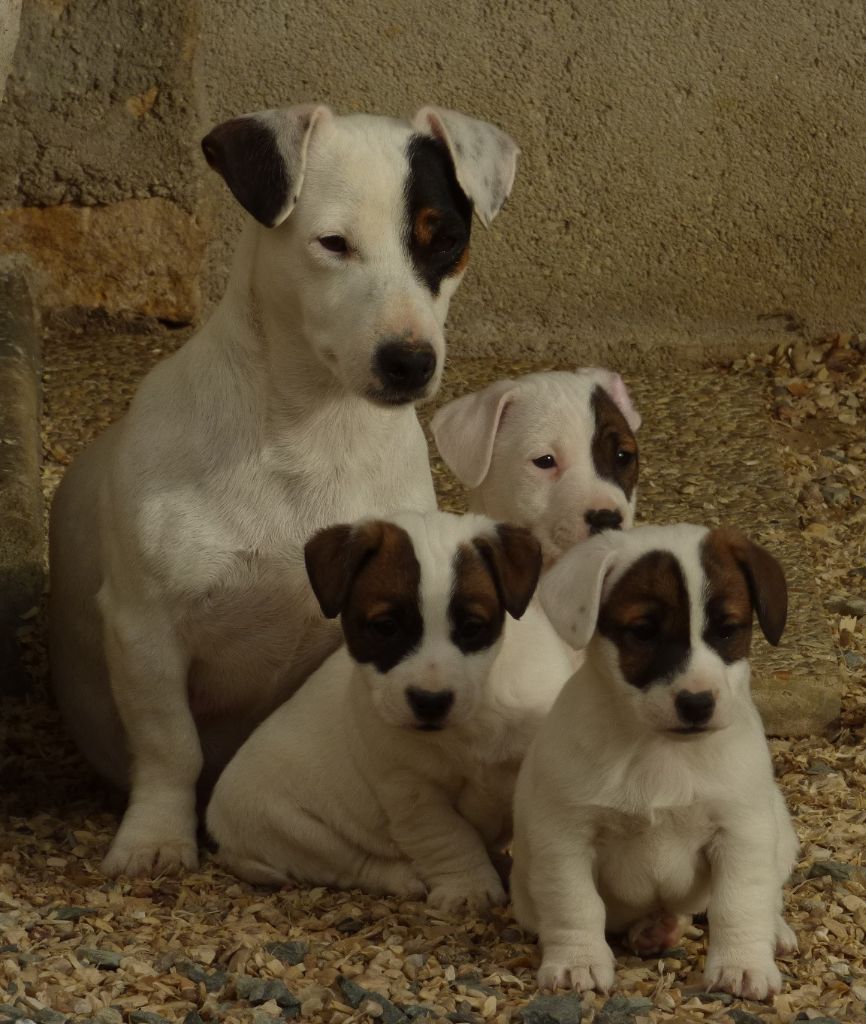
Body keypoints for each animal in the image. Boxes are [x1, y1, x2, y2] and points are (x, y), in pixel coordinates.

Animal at [47, 103, 517, 876]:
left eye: (443, 240)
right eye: (333, 243)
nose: (410, 361)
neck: (309, 433)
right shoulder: (144, 628)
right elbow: (169, 745)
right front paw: (155, 838)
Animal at [206, 507, 581, 909]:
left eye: (472, 627)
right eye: (385, 627)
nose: (430, 701)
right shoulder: (412, 792)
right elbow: (448, 838)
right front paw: (469, 888)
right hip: (295, 829)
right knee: (352, 864)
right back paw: (404, 877)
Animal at [511, 524, 802, 1003]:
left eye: (728, 630)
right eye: (643, 632)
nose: (697, 703)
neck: (658, 749)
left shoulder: (741, 833)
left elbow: (739, 902)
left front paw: (741, 963)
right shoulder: (565, 839)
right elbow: (575, 905)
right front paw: (577, 961)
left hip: (779, 834)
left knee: (763, 895)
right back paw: (652, 930)